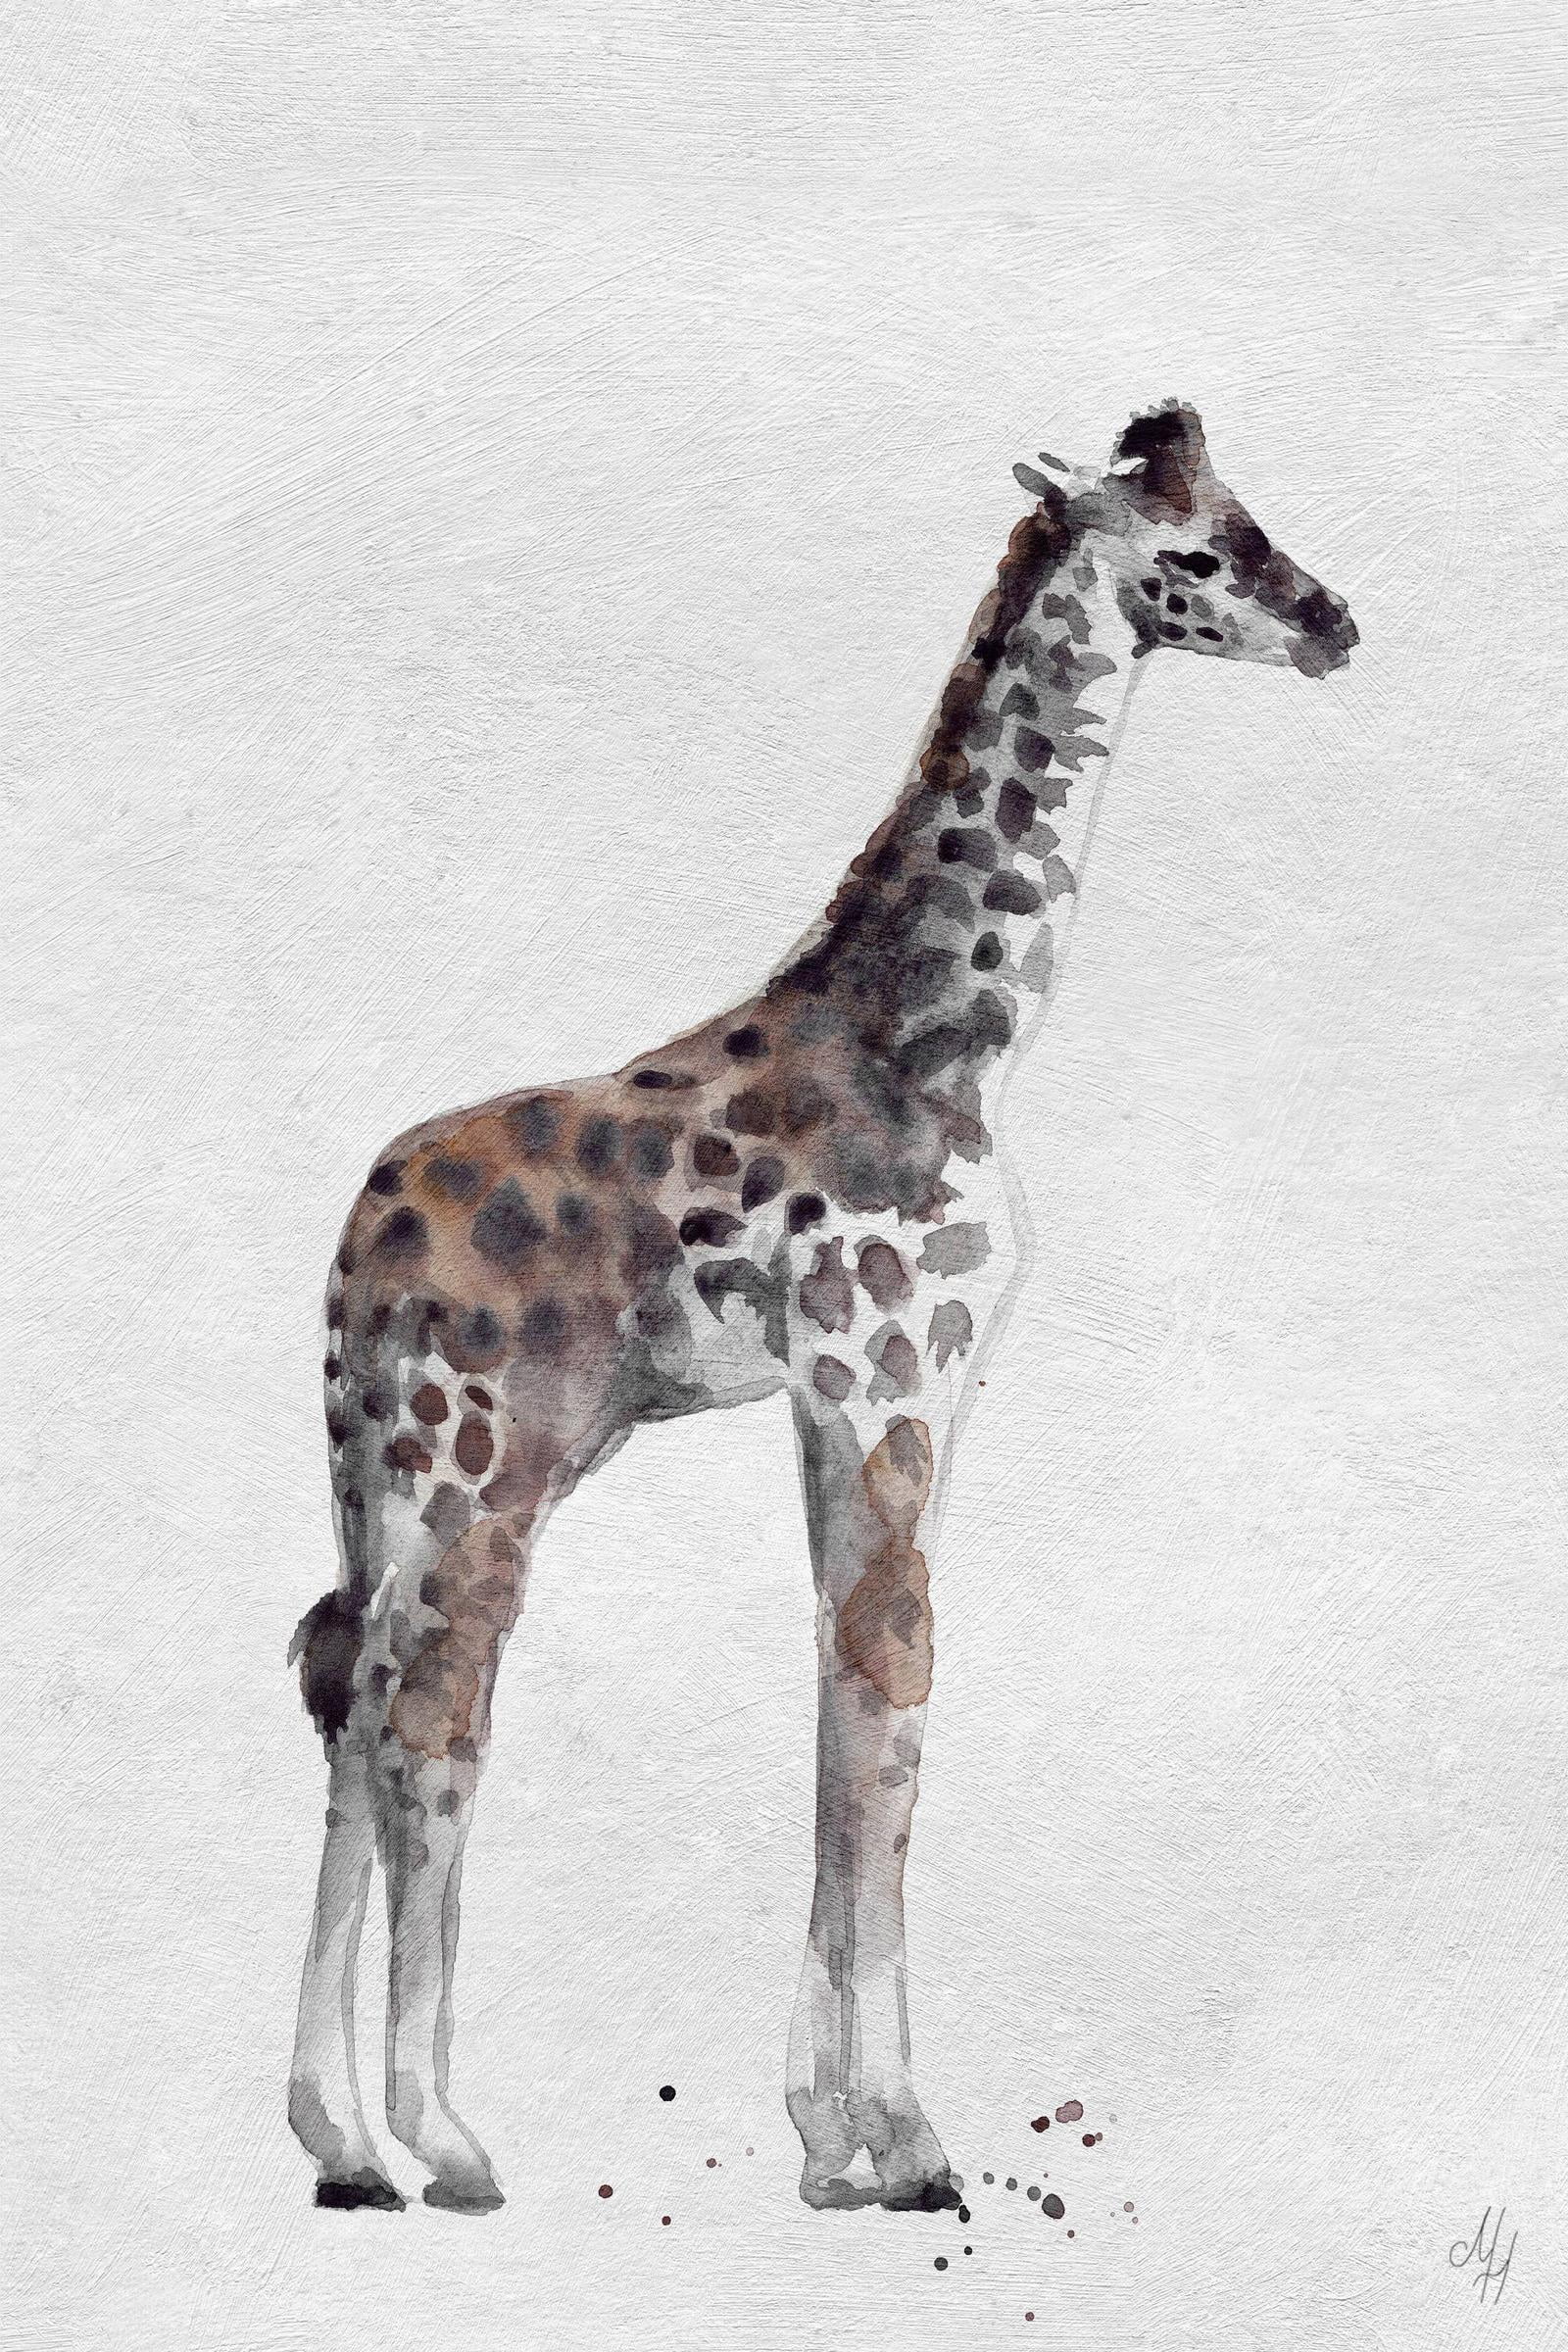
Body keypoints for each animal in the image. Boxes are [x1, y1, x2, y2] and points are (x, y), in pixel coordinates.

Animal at [288, 401, 1357, 2215]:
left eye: (1253, 516)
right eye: (1197, 555)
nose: (1335, 624)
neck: (948, 1043)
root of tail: (362, 1247)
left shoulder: (844, 1401)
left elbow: (840, 1683)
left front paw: (826, 2137)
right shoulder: (892, 1376)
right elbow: (894, 1683)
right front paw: (908, 2139)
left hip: (403, 1475)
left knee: (348, 1685)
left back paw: (341, 2138)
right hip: (488, 1464)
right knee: (433, 1714)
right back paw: (442, 2136)